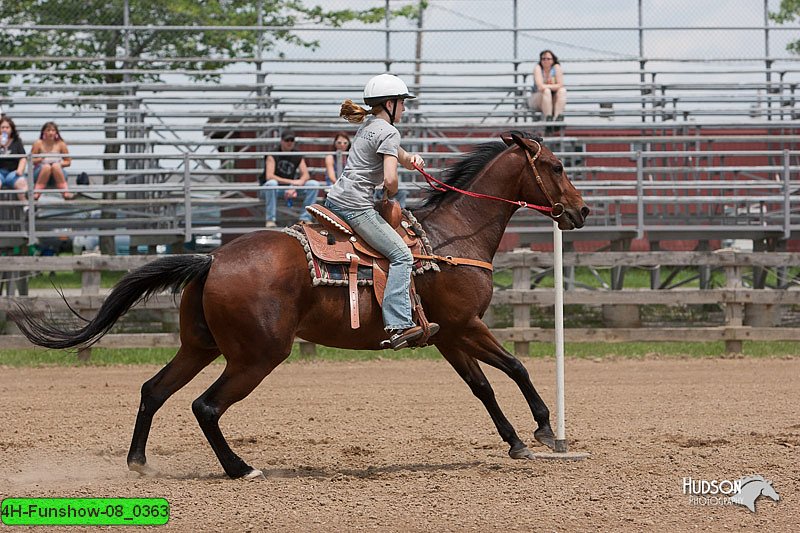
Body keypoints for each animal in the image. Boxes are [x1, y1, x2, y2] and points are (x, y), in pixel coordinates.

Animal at [10, 130, 588, 478]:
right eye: (559, 165)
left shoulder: (447, 335)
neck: (450, 238)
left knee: (154, 390)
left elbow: (483, 387)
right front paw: (546, 431)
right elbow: (515, 367)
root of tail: (211, 259)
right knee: (205, 406)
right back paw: (241, 468)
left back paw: (139, 463)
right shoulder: (467, 326)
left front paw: (516, 442)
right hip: (258, 355)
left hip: (199, 346)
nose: (580, 212)